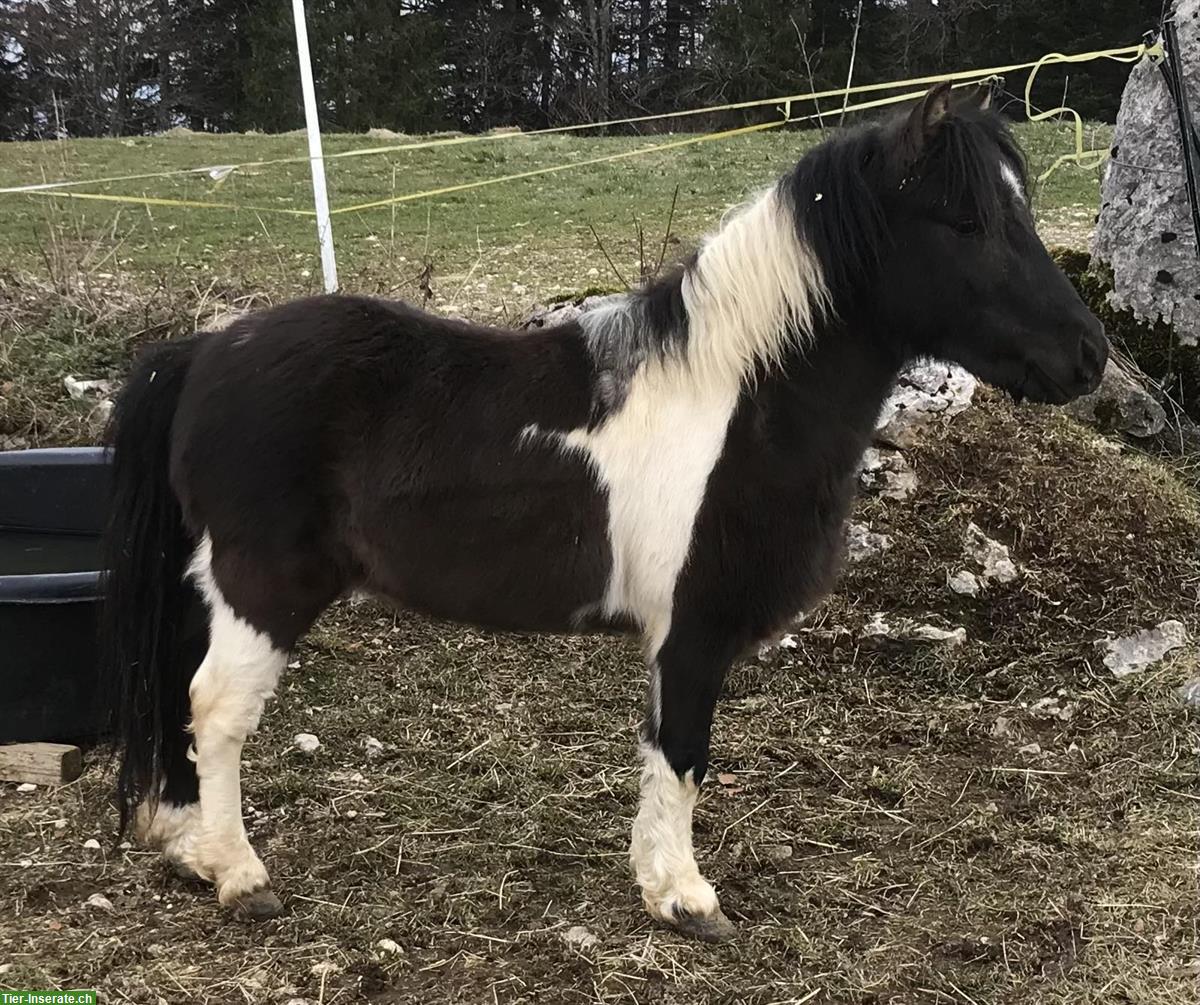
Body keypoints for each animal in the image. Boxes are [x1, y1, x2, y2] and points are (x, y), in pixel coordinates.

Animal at [103, 82, 1104, 940]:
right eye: (966, 221)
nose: (1089, 356)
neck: (733, 400)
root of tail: (203, 351)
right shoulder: (692, 629)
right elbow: (684, 753)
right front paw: (686, 898)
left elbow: (662, 751)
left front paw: (660, 881)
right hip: (262, 586)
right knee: (216, 708)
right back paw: (240, 875)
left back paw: (190, 850)